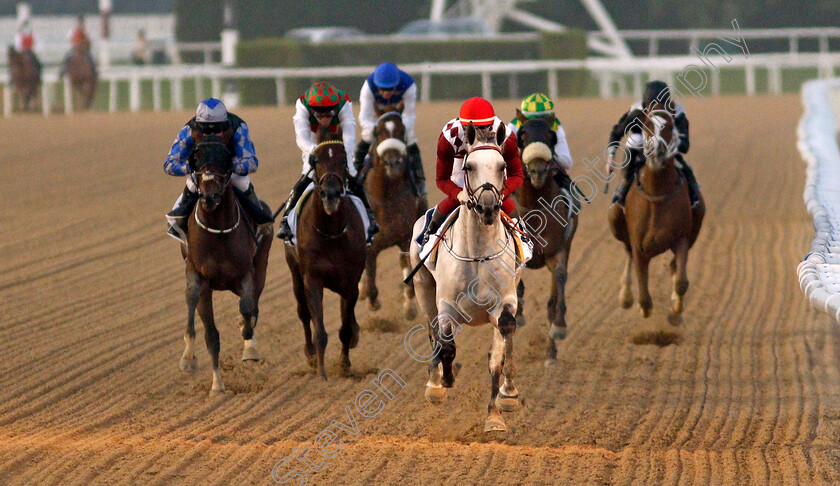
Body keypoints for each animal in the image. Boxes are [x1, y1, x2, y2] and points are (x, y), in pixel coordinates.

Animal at [179, 134, 274, 394]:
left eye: (224, 158)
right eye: (196, 157)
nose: (208, 195)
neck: (218, 230)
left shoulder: (246, 274)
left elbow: (248, 309)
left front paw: (249, 348)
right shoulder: (200, 278)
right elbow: (210, 334)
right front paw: (215, 384)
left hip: (261, 266)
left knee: (254, 306)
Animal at [284, 137, 366, 380]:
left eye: (343, 160)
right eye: (317, 160)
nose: (331, 195)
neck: (331, 232)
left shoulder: (350, 282)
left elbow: (345, 327)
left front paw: (345, 364)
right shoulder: (312, 279)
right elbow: (319, 329)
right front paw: (321, 372)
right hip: (295, 274)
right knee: (303, 313)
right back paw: (310, 356)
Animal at [360, 106, 430, 318]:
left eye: (401, 131)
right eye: (378, 132)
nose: (392, 163)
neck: (385, 198)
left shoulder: (406, 238)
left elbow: (408, 271)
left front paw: (410, 306)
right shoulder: (369, 247)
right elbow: (371, 277)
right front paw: (372, 301)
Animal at [512, 115, 576, 360]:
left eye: (551, 136)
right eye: (522, 136)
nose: (538, 171)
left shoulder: (557, 250)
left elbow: (559, 278)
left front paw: (559, 326)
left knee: (551, 300)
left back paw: (551, 353)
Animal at [612, 104, 704, 320]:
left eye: (670, 126)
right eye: (646, 125)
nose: (656, 154)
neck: (657, 194)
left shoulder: (681, 239)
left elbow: (681, 282)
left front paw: (676, 310)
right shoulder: (639, 245)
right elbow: (644, 295)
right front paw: (641, 305)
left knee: (673, 267)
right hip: (615, 223)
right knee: (628, 253)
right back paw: (625, 295)